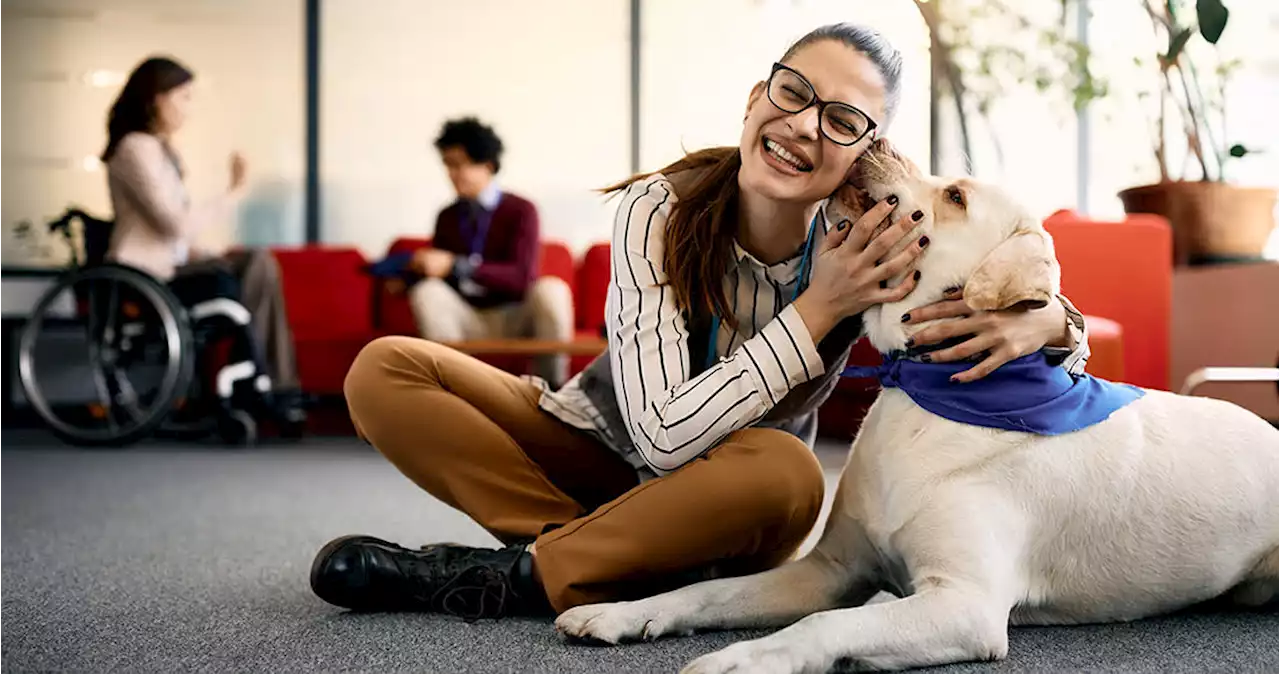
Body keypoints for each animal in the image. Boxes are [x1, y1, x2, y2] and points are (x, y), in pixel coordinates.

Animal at [558, 140, 1280, 670]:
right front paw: (622, 612)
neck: (928, 391)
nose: (876, 139)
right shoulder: (830, 569)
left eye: (956, 195)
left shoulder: (964, 604)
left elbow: (824, 624)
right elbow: (707, 591)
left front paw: (744, 659)